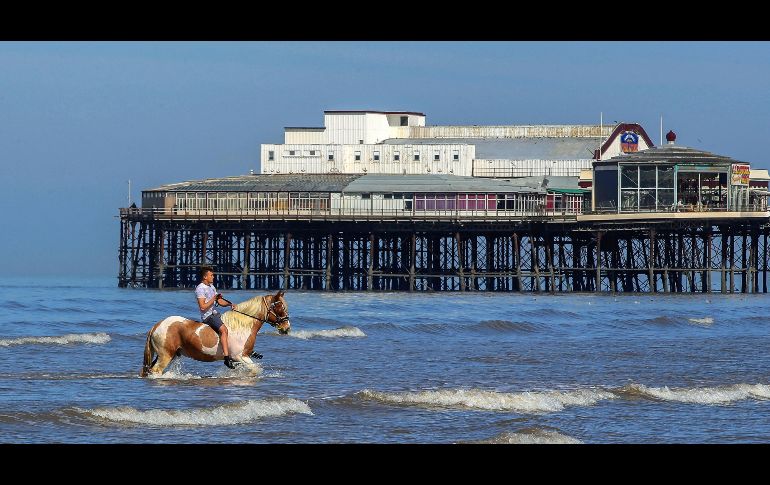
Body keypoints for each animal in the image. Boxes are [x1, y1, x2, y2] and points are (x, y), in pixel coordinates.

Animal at [140, 290, 291, 377]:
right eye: (280, 307)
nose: (287, 328)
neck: (242, 326)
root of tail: (157, 325)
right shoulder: (240, 356)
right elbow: (255, 369)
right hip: (165, 356)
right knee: (156, 371)